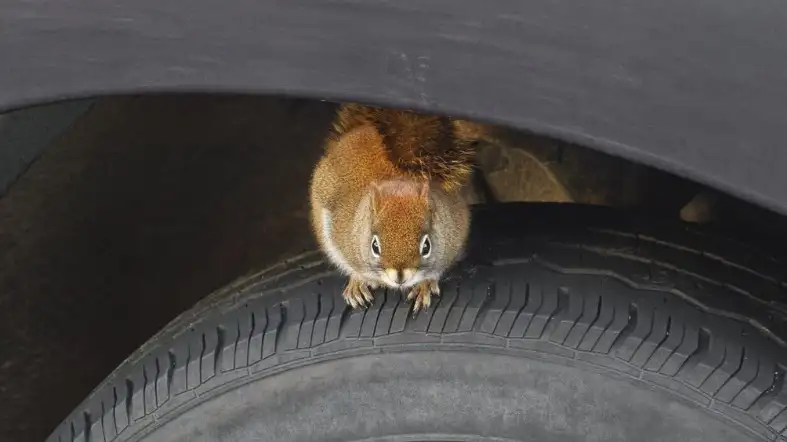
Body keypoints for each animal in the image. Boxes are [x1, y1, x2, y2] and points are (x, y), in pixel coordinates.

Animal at [310, 102, 478, 314]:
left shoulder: (453, 239)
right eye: (375, 246)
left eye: (426, 246)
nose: (400, 278)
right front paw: (357, 282)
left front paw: (424, 286)